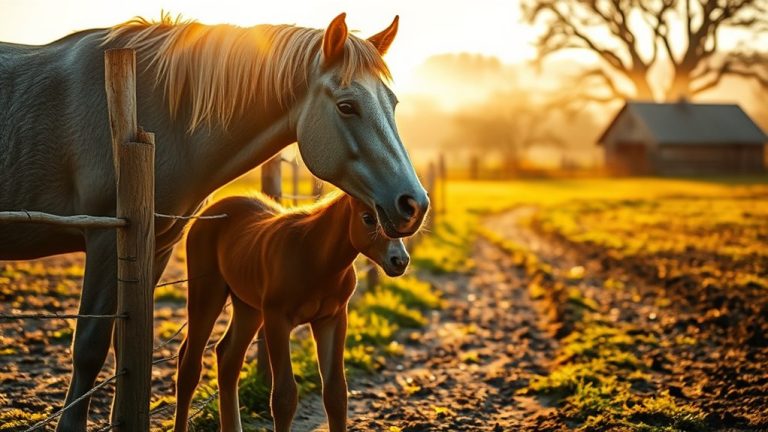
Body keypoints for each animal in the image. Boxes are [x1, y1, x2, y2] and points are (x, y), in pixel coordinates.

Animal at [174, 192, 409, 432]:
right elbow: (284, 397)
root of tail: (209, 210)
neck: (314, 256)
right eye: (368, 218)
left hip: (248, 307)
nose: (400, 261)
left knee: (228, 357)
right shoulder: (276, 318)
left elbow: (336, 394)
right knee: (190, 365)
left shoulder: (332, 319)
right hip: (207, 294)